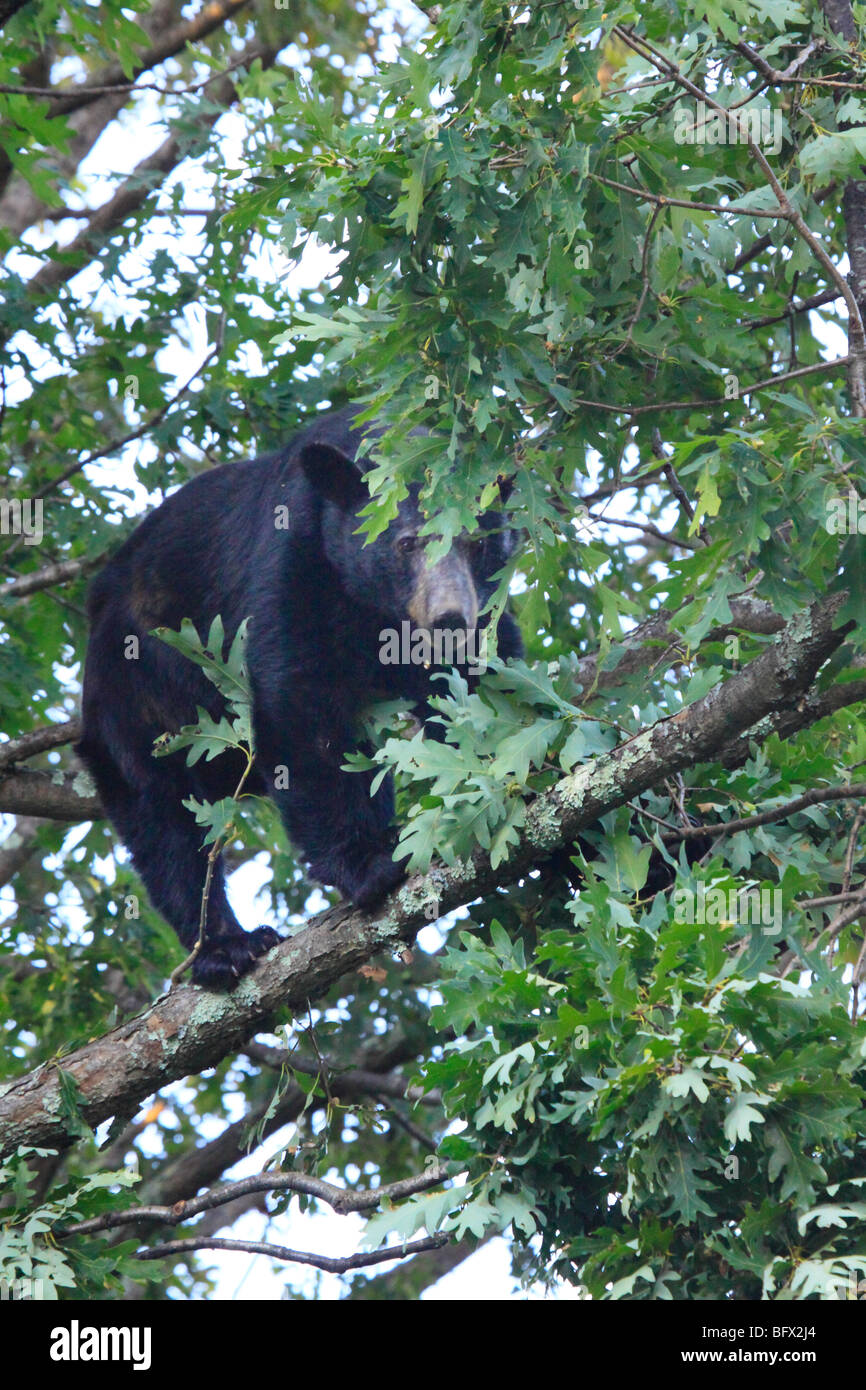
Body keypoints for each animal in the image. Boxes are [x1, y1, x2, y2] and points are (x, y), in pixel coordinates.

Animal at [77, 408, 522, 989]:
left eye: (477, 542)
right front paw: (367, 863)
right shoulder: (291, 565)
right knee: (162, 818)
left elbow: (488, 695)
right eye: (405, 544)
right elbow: (298, 706)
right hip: (135, 691)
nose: (450, 618)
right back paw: (225, 947)